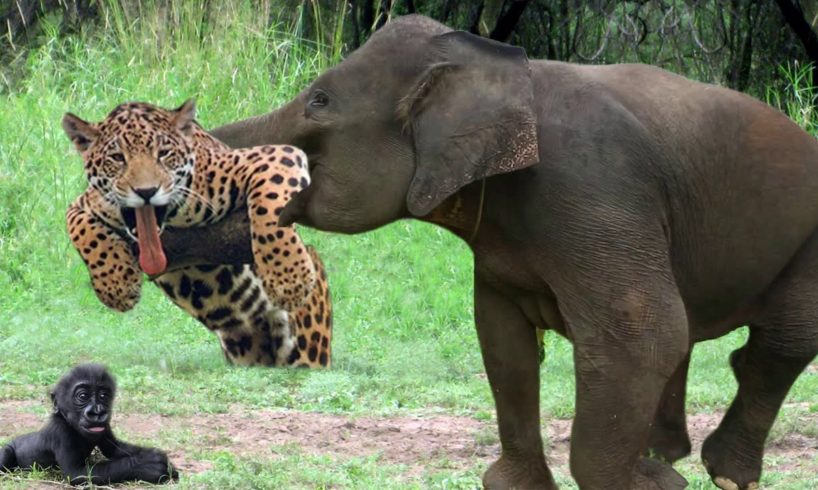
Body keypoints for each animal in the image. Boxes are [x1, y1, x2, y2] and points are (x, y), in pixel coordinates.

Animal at [0, 362, 178, 484]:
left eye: (103, 396)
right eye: (83, 396)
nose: (97, 412)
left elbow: (114, 449)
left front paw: (155, 456)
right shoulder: (61, 432)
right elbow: (76, 473)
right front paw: (148, 466)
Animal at [161, 13, 816, 488]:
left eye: (318, 101)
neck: (496, 66)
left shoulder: (595, 184)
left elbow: (641, 331)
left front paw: (645, 486)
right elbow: (502, 340)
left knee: (780, 342)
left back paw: (720, 473)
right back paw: (667, 455)